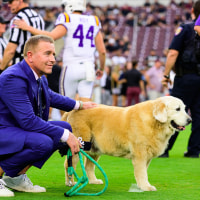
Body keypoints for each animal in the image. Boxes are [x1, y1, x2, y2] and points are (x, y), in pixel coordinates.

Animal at [62, 96, 191, 191]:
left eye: (184, 108)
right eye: (177, 109)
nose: (190, 120)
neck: (154, 122)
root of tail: (72, 111)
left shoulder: (147, 156)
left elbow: (142, 171)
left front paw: (141, 185)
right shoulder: (140, 154)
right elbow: (142, 172)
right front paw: (146, 187)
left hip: (94, 148)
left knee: (89, 166)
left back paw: (93, 181)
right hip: (78, 145)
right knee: (69, 165)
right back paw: (71, 183)